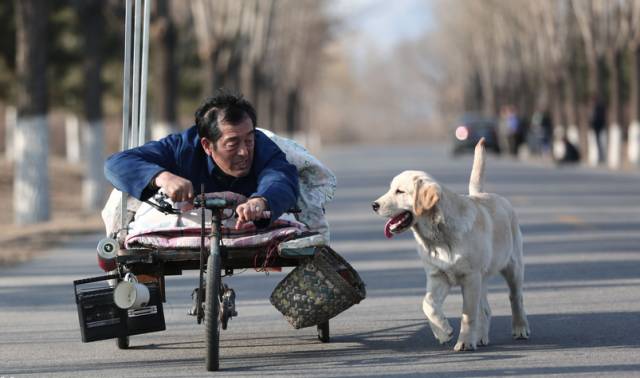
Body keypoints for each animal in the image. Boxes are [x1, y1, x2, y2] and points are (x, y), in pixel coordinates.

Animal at [370, 139, 528, 352]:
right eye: (390, 189)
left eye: (400, 191)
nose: (374, 205)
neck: (438, 236)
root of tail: (483, 193)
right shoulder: (438, 276)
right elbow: (427, 304)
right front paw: (443, 331)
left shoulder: (470, 277)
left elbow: (467, 315)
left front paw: (464, 342)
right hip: (483, 278)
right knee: (485, 309)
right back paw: (481, 337)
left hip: (513, 267)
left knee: (515, 297)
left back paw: (520, 329)